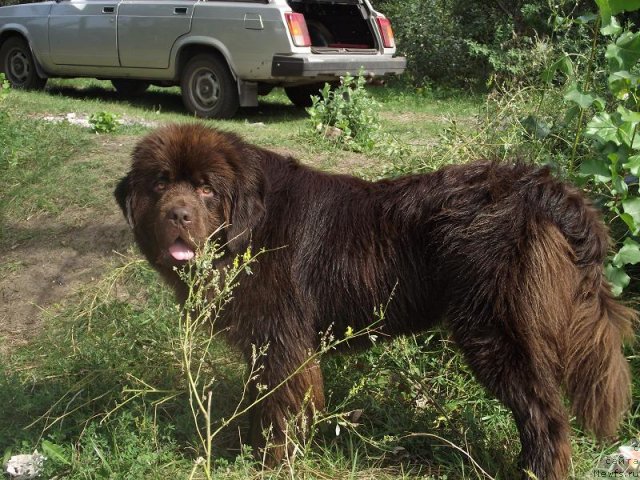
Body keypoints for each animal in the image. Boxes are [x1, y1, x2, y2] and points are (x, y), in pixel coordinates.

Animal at [116, 124, 636, 480]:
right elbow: (260, 398)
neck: (251, 224)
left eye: (207, 188)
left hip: (497, 331)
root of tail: (540, 188)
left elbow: (282, 406)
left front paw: (272, 462)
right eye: (160, 183)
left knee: (545, 413)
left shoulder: (283, 341)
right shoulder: (265, 345)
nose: (178, 215)